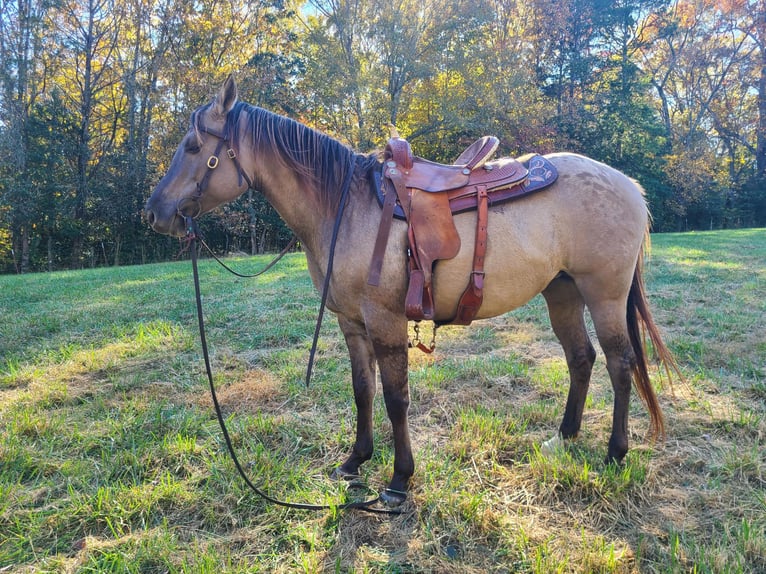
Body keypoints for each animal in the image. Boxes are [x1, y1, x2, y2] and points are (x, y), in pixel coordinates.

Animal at [146, 77, 680, 508]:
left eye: (192, 145)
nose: (154, 211)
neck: (343, 205)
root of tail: (628, 184)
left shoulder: (385, 320)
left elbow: (396, 397)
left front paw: (400, 479)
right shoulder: (351, 323)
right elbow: (363, 391)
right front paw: (355, 461)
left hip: (603, 294)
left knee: (620, 365)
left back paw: (615, 452)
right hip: (562, 292)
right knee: (580, 358)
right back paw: (563, 439)